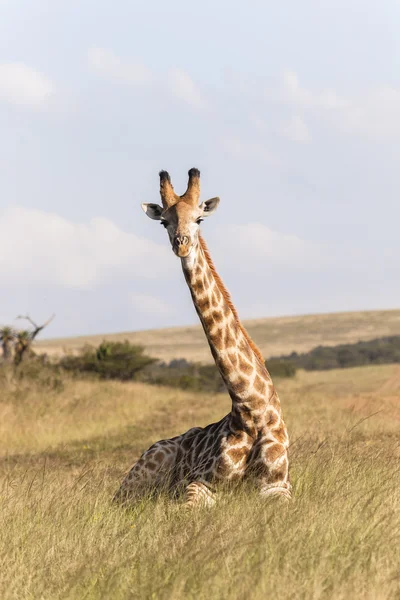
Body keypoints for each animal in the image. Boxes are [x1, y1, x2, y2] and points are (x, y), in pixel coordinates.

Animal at [114, 168, 292, 506]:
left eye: (199, 219)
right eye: (164, 221)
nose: (181, 245)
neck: (252, 410)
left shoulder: (279, 486)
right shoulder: (201, 483)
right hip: (137, 477)